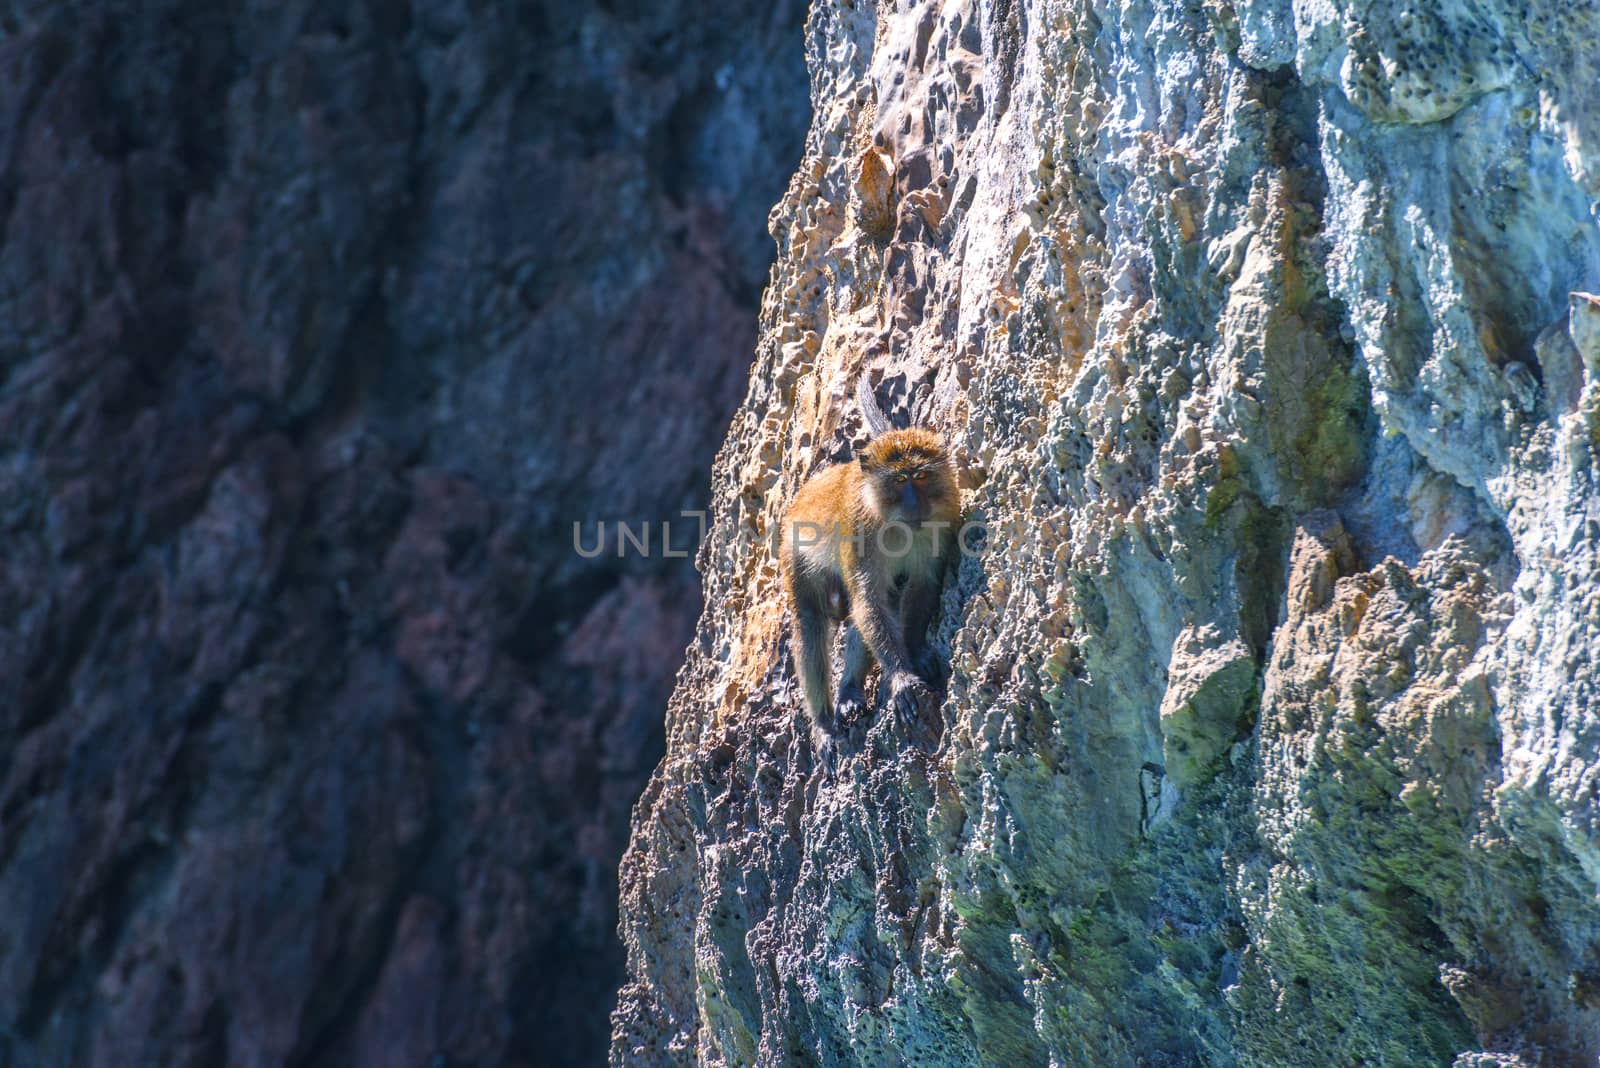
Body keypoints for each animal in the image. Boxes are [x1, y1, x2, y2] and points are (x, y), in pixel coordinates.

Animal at [777, 378, 953, 748]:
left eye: (920, 476)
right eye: (899, 480)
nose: (915, 504)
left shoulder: (945, 521)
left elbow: (921, 584)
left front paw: (915, 651)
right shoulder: (859, 533)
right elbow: (869, 602)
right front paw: (901, 677)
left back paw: (848, 689)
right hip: (795, 553)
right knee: (813, 621)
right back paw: (824, 721)